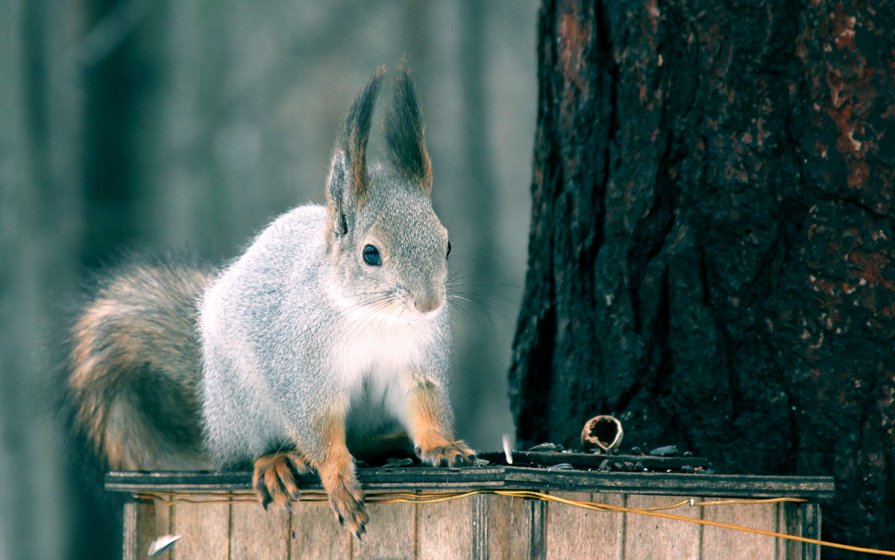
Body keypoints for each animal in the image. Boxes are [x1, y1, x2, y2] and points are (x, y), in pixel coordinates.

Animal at [68, 68, 476, 536]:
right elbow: (318, 429)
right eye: (370, 253)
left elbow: (424, 403)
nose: (429, 305)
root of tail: (214, 429)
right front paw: (338, 480)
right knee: (251, 451)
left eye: (447, 244)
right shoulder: (302, 373)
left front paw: (442, 446)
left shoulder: (417, 361)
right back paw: (276, 462)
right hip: (244, 407)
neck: (374, 318)